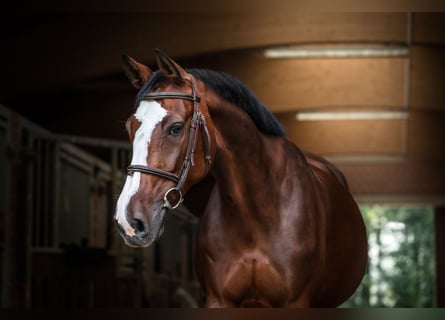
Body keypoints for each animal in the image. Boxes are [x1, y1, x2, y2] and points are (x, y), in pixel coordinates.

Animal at [112, 48, 366, 306]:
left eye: (176, 128)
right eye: (130, 127)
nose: (129, 221)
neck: (258, 215)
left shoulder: (296, 302)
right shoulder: (218, 300)